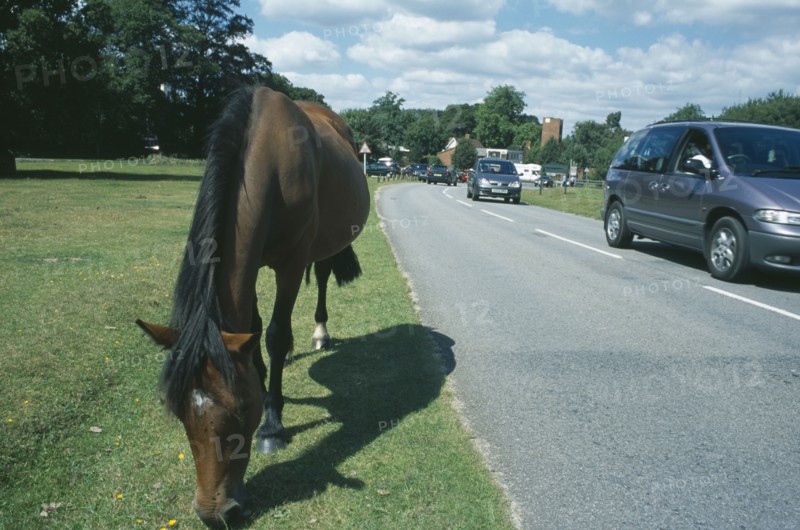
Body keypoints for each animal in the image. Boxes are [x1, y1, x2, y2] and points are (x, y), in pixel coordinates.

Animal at [135, 85, 370, 527]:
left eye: (243, 412)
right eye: (180, 413)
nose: (213, 512)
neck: (271, 161)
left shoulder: (291, 264)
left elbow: (276, 334)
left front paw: (273, 424)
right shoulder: (254, 260)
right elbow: (254, 329)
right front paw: (262, 379)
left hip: (324, 244)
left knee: (322, 276)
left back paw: (320, 332)